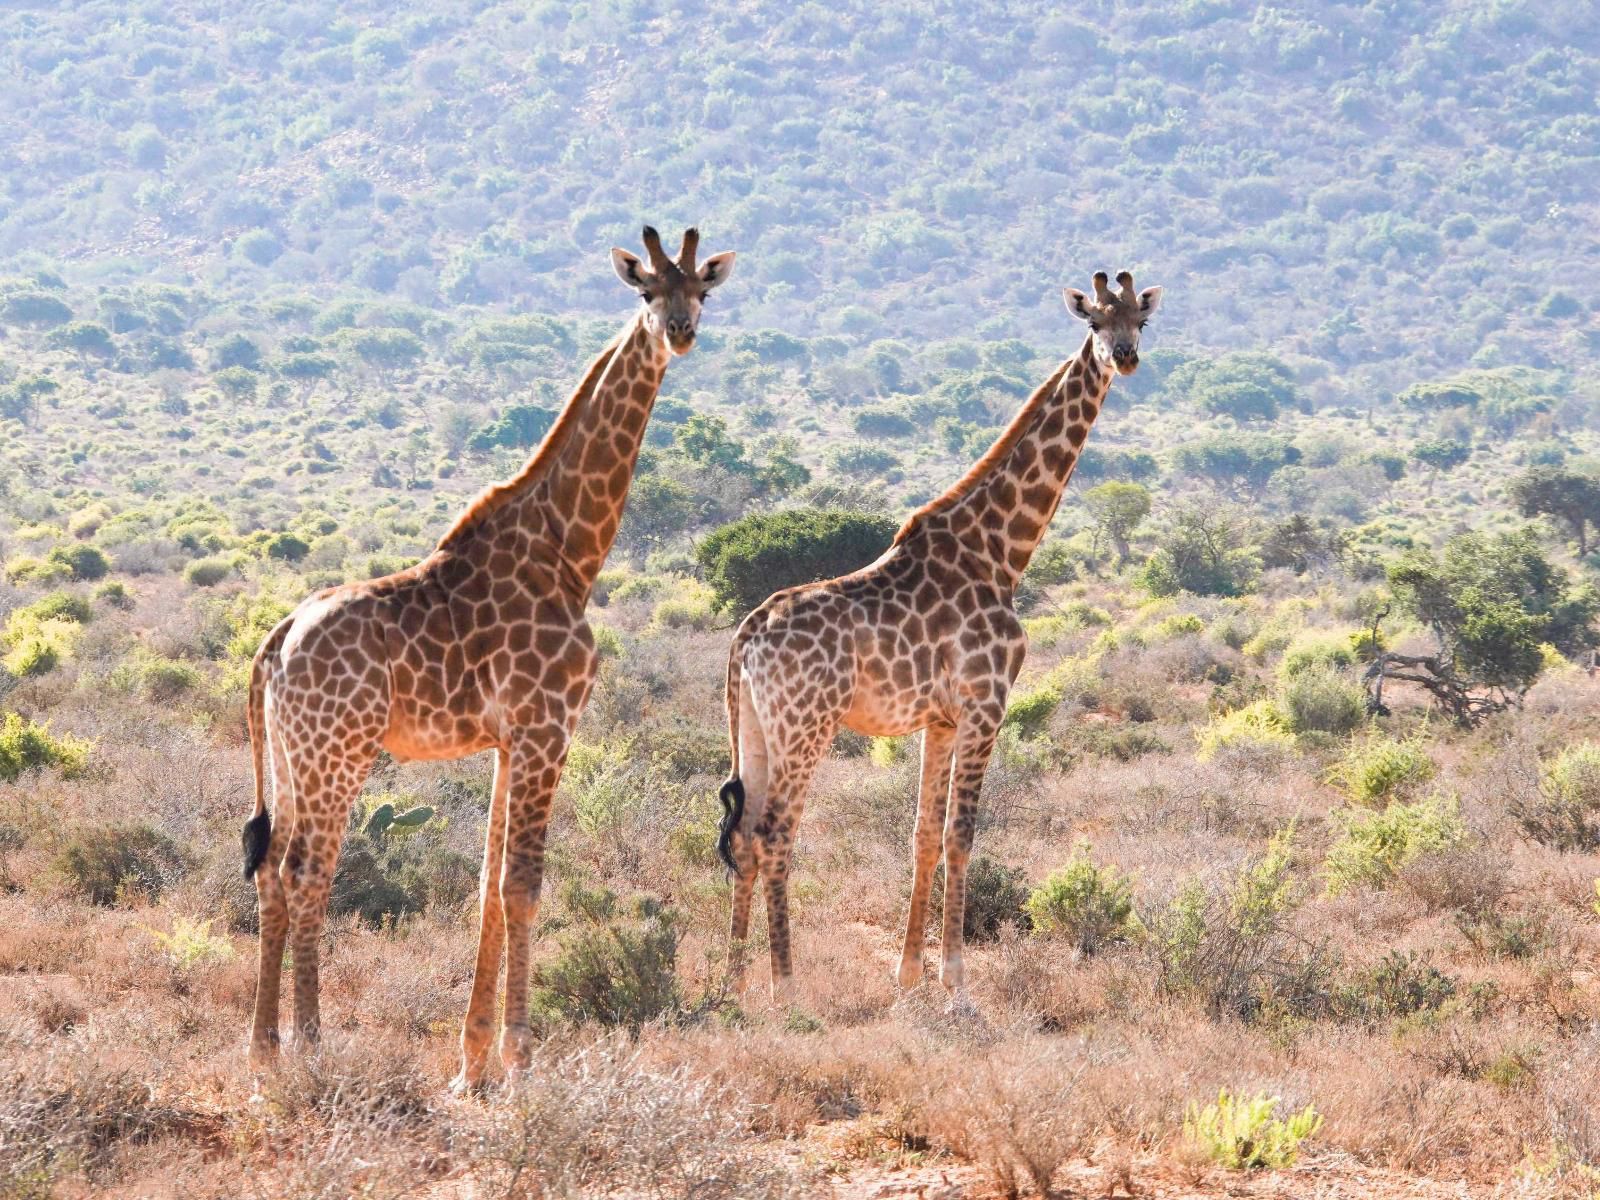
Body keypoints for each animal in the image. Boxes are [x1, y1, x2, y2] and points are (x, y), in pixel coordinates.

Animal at [238, 225, 736, 1088]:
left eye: (699, 290)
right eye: (646, 291)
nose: (680, 332)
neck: (569, 551)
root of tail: (276, 640)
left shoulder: (507, 741)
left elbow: (486, 888)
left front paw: (471, 1065)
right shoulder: (549, 726)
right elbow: (525, 885)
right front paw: (520, 1058)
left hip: (293, 757)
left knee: (271, 869)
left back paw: (265, 1048)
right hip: (339, 753)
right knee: (307, 872)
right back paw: (312, 1046)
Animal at [716, 275, 1164, 1004]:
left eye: (1140, 322)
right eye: (1096, 321)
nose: (1124, 357)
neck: (1001, 553)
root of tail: (746, 637)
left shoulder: (941, 719)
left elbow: (923, 834)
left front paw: (907, 974)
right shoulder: (986, 704)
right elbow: (962, 835)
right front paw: (955, 979)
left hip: (754, 726)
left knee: (748, 835)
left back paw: (732, 983)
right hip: (806, 725)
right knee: (777, 833)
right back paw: (785, 987)